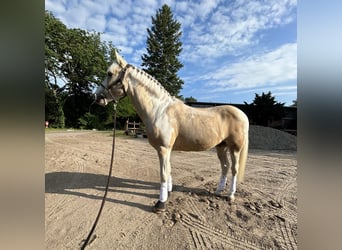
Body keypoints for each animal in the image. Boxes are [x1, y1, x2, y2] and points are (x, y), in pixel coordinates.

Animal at [95, 51, 250, 213]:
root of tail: (242, 114)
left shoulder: (163, 149)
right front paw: (168, 192)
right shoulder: (167, 149)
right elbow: (168, 170)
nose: (97, 97)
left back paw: (230, 195)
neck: (160, 110)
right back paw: (219, 191)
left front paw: (160, 203)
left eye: (109, 73)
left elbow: (163, 174)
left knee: (234, 169)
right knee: (225, 167)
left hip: (235, 148)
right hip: (221, 147)